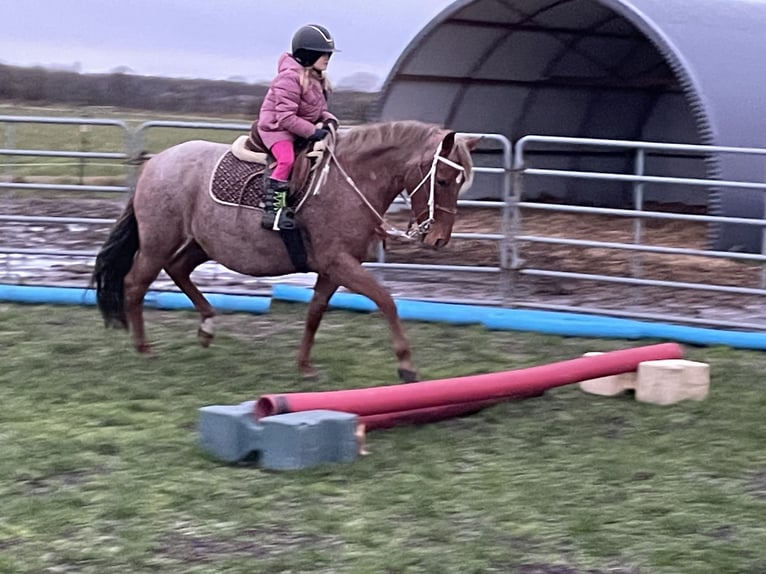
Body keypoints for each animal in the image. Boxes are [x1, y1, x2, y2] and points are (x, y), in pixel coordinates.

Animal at [93, 121, 480, 382]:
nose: (438, 239)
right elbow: (386, 300)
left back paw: (207, 326)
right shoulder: (341, 263)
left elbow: (315, 313)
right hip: (158, 242)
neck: (349, 182)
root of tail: (155, 163)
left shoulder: (333, 269)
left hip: (202, 244)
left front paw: (305, 366)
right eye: (443, 180)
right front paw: (406, 365)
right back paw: (144, 347)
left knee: (178, 270)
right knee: (135, 283)